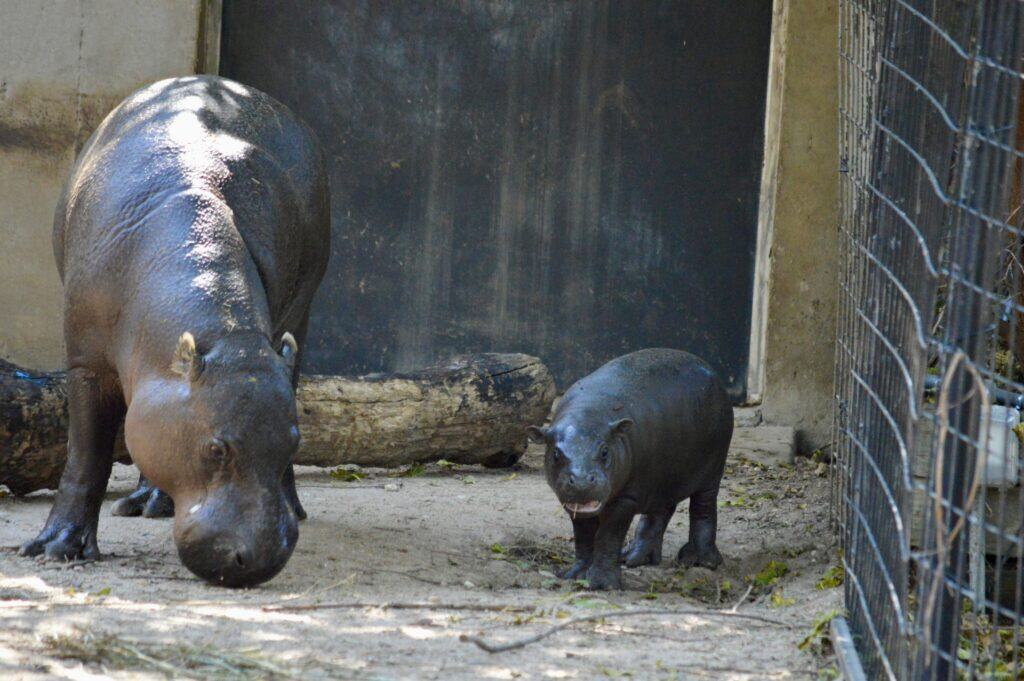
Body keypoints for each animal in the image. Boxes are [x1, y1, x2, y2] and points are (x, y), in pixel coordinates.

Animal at [19, 76, 330, 587]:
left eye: (295, 441)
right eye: (216, 449)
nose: (262, 559)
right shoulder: (86, 364)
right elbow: (86, 455)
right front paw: (55, 549)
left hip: (302, 313)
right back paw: (143, 504)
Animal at [527, 349, 733, 590]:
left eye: (605, 451)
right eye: (556, 453)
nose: (581, 481)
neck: (588, 414)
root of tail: (711, 371)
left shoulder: (626, 498)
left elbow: (608, 537)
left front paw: (603, 584)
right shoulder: (576, 504)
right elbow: (584, 537)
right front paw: (576, 574)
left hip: (712, 469)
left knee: (704, 508)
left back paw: (700, 561)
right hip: (662, 477)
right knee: (659, 513)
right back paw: (634, 558)